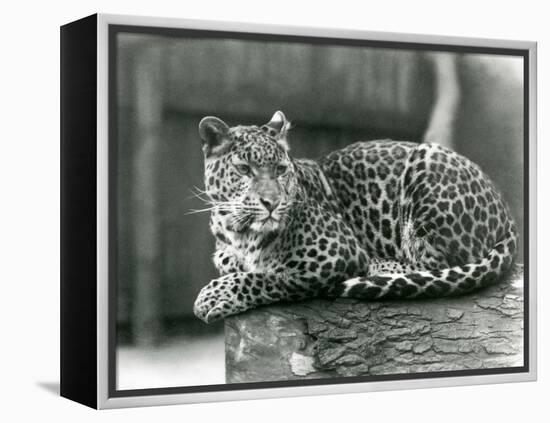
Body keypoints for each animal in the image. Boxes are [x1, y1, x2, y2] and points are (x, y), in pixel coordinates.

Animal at [193, 111, 516, 322]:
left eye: (281, 170)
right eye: (244, 169)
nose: (272, 203)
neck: (238, 231)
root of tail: (506, 210)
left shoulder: (335, 254)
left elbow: (270, 276)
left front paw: (215, 295)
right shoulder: (224, 252)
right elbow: (237, 263)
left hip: (427, 161)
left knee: (437, 266)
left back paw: (380, 266)